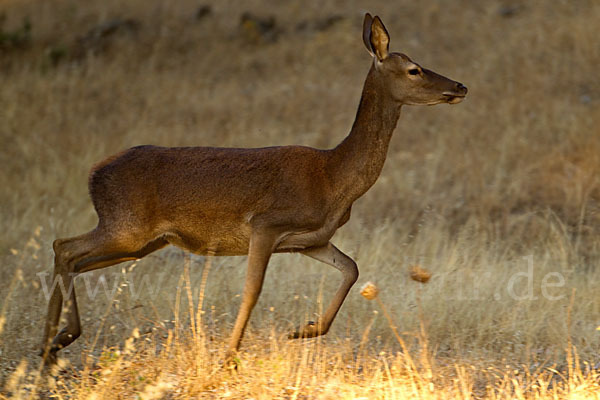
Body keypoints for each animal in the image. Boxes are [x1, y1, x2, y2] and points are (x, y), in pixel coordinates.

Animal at [39, 13, 466, 366]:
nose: (460, 85)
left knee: (73, 258)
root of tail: (94, 173)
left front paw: (304, 330)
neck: (333, 178)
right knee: (64, 247)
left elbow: (352, 269)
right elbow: (253, 290)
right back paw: (52, 343)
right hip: (126, 226)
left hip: (144, 241)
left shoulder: (309, 239)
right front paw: (229, 357)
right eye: (413, 70)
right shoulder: (265, 224)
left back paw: (52, 346)